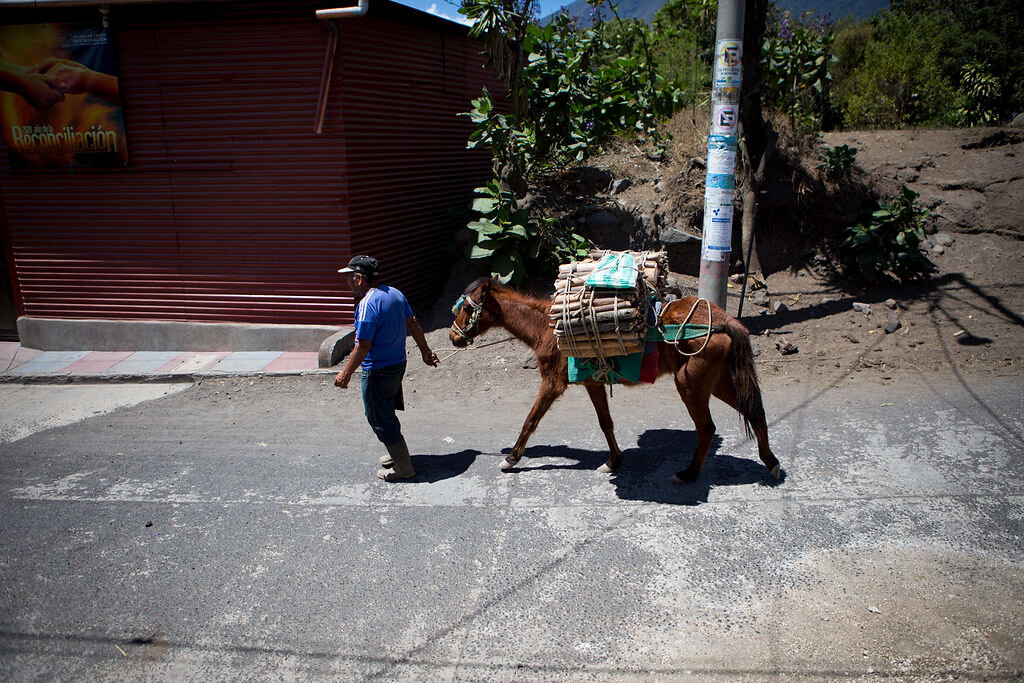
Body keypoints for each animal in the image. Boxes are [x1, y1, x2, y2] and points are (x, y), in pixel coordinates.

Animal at [450, 274, 782, 483]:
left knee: (707, 428)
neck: (547, 328)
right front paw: (613, 461)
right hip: (718, 381)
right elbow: (605, 422)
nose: (453, 337)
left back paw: (688, 474)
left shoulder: (553, 383)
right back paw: (772, 463)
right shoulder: (593, 382)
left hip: (691, 385)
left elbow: (530, 420)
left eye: (466, 307)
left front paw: (511, 459)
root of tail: (724, 319)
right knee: (754, 411)